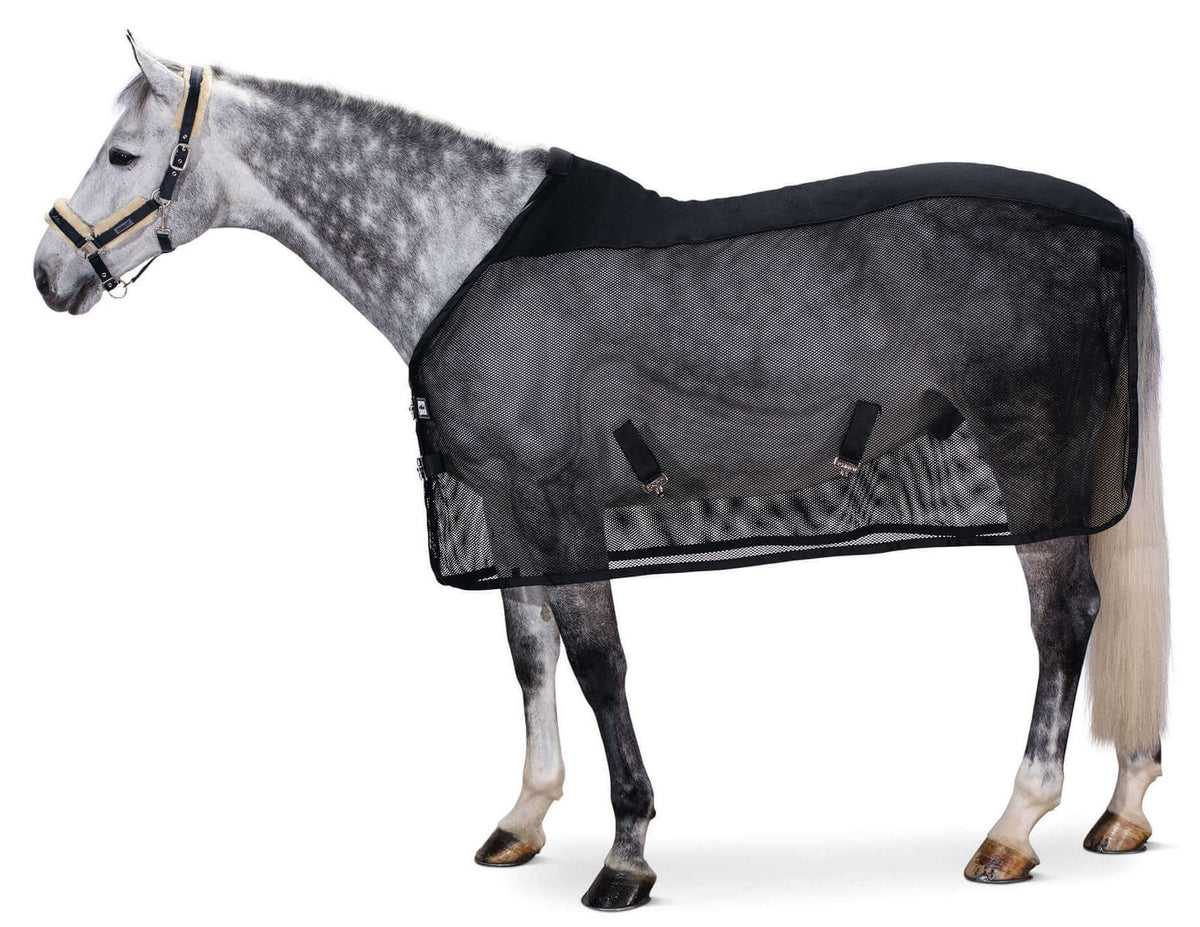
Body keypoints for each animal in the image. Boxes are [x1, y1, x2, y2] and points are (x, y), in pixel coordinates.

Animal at [33, 36, 1169, 911]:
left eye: (124, 151)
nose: (48, 275)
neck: (466, 254)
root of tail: (1109, 224)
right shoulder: (507, 508)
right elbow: (529, 654)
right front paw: (524, 816)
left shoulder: (557, 496)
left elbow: (597, 663)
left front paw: (626, 855)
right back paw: (1121, 811)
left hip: (1031, 451)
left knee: (1064, 615)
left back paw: (1015, 828)